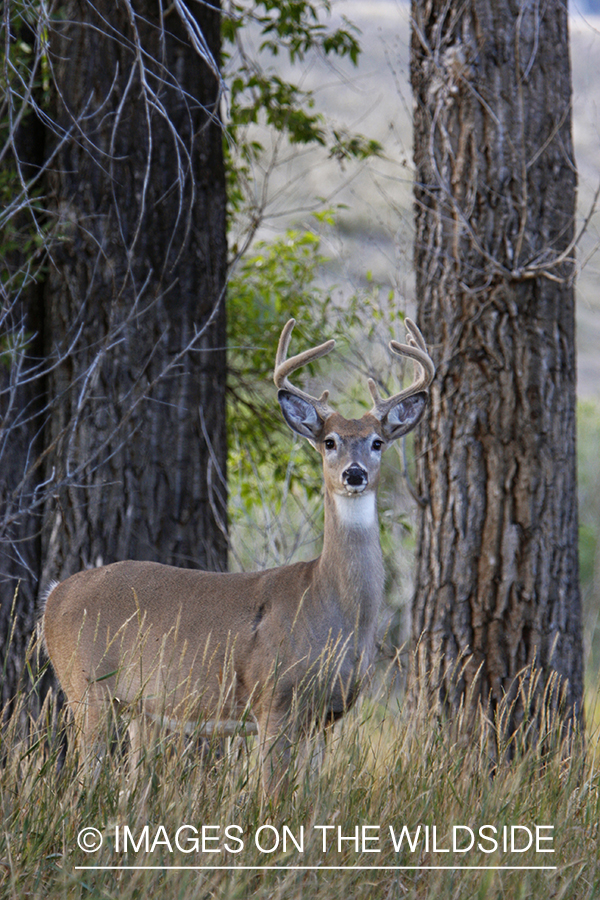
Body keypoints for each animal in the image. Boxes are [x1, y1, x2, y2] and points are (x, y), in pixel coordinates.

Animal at [43, 316, 436, 796]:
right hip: (85, 687)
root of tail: (55, 594)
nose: (354, 474)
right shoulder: (274, 698)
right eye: (329, 441)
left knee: (130, 786)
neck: (333, 609)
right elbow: (271, 795)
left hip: (140, 709)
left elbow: (309, 795)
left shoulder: (326, 716)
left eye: (377, 441)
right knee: (81, 782)